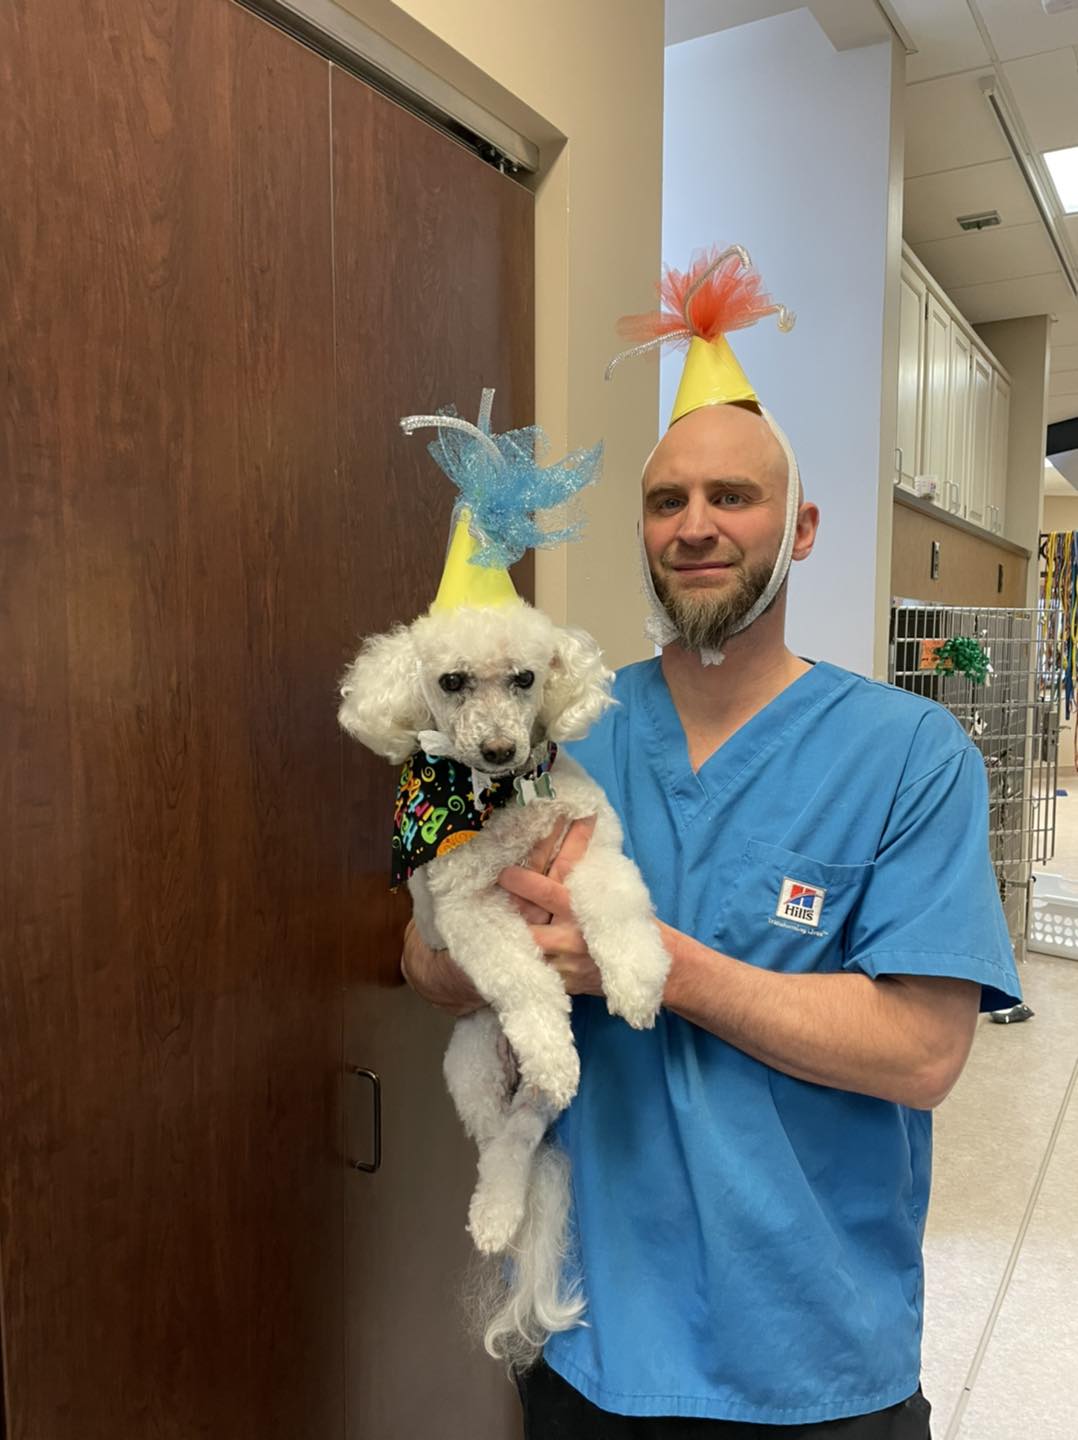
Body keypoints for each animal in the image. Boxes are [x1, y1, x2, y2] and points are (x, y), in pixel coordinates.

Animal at [341, 601, 667, 1365]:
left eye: (525, 678)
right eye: (451, 681)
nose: (496, 750)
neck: (502, 802)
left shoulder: (594, 850)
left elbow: (618, 911)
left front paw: (638, 982)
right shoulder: (468, 909)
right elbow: (524, 981)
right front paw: (551, 1045)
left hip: (518, 1098)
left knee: (520, 1139)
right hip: (469, 1064)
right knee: (499, 1148)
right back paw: (495, 1211)